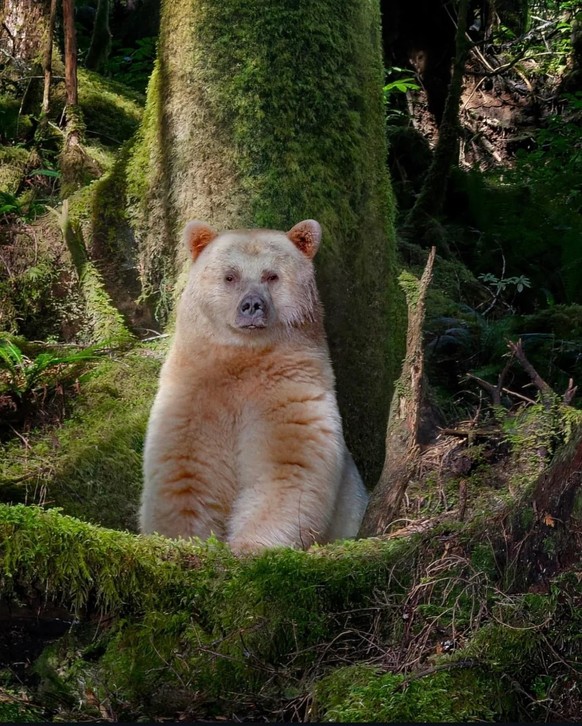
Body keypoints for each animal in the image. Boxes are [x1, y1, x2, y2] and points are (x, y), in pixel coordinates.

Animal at [139, 219, 368, 553]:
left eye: (271, 275)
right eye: (230, 276)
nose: (251, 305)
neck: (244, 358)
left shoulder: (289, 390)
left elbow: (286, 466)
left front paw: (249, 545)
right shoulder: (194, 394)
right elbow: (187, 468)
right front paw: (185, 539)